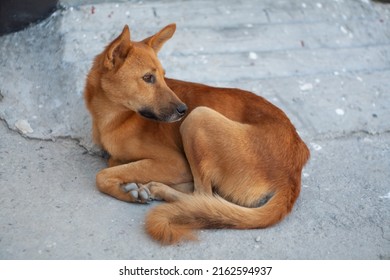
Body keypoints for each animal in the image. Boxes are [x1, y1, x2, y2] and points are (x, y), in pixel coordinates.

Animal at [84, 23, 310, 244]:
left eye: (164, 76)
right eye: (148, 78)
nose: (182, 109)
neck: (114, 116)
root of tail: (292, 176)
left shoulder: (175, 162)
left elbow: (102, 175)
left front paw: (126, 190)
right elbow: (113, 163)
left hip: (197, 117)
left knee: (202, 195)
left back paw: (161, 189)